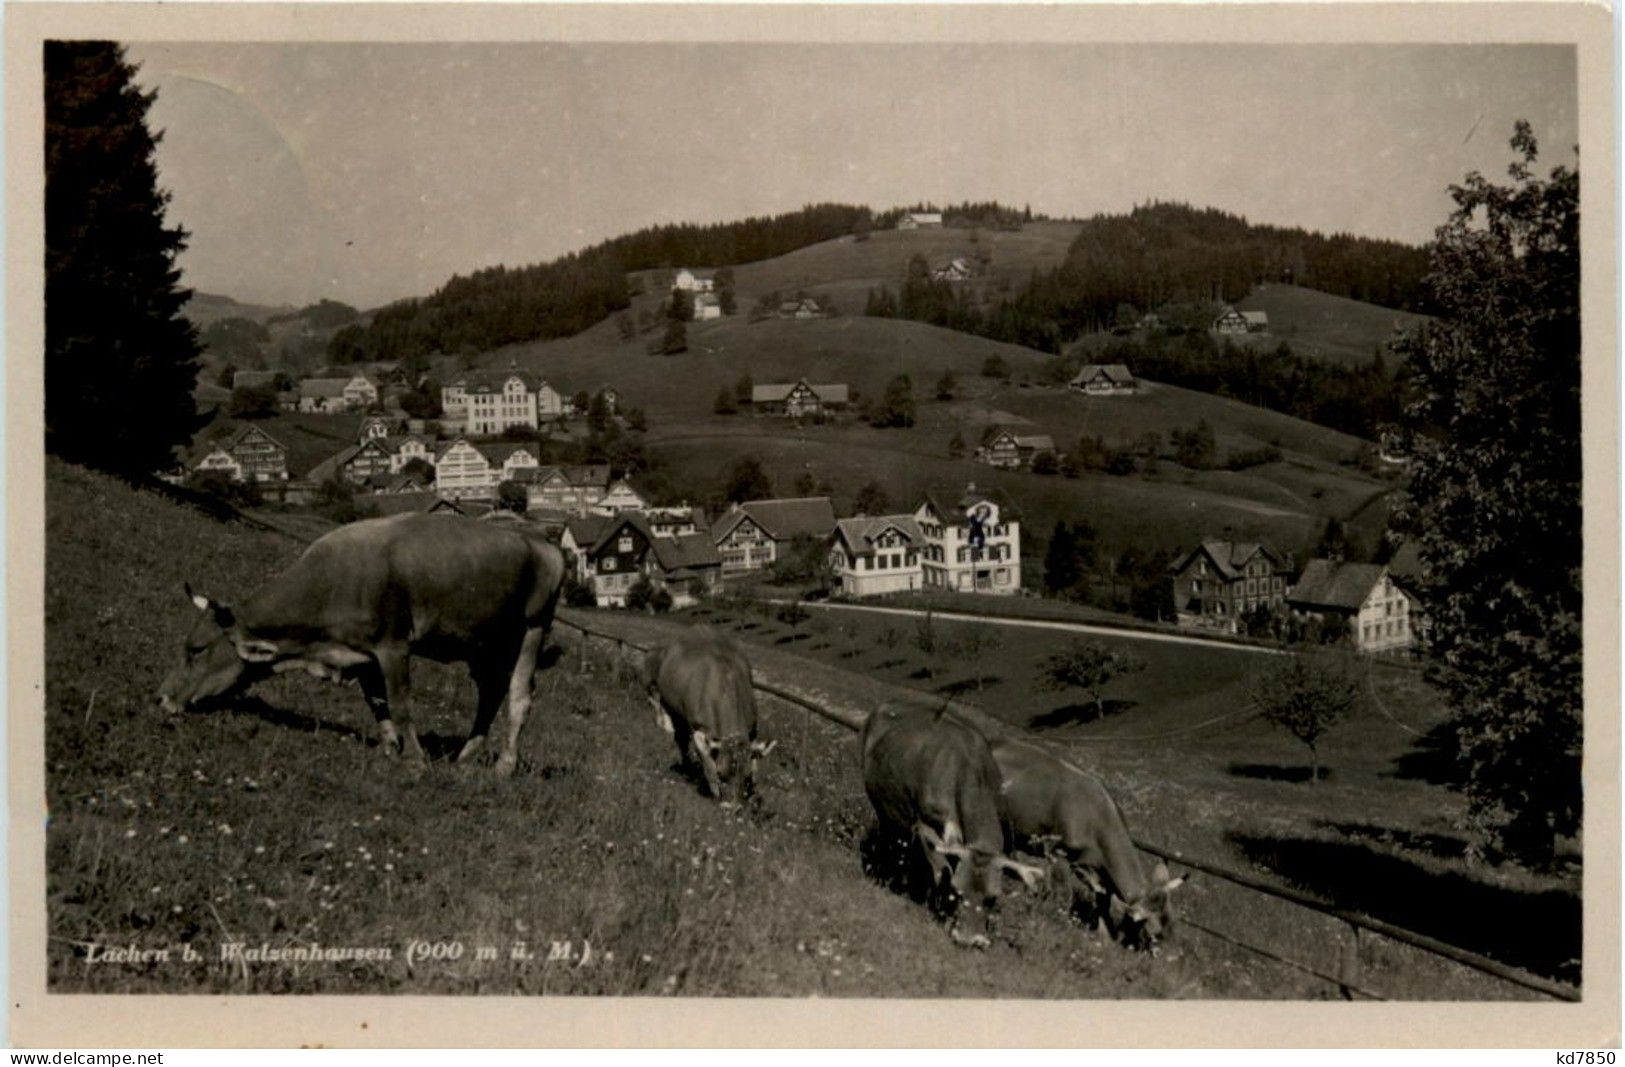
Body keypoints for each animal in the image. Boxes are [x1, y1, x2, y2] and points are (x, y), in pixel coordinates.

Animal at [156, 506, 565, 773]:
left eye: (196, 650)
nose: (161, 698)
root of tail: (541, 538)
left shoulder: (394, 646)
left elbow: (399, 703)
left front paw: (414, 760)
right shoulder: (362, 652)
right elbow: (376, 702)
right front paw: (388, 748)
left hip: (532, 627)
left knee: (519, 696)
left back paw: (505, 766)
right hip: (481, 642)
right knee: (490, 692)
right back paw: (466, 756)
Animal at [643, 633, 770, 799]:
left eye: (745, 776)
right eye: (721, 774)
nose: (733, 805)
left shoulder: (753, 728)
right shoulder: (699, 728)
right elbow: (708, 763)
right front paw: (715, 792)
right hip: (670, 706)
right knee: (680, 738)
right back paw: (687, 767)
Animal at [858, 704, 1046, 941]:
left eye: (992, 898)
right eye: (956, 892)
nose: (967, 940)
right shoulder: (923, 826)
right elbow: (941, 870)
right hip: (882, 810)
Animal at [988, 734, 1183, 948]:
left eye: (1172, 926)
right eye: (1153, 933)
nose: (1167, 953)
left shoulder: (1096, 869)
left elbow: (1103, 901)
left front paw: (1105, 936)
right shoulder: (1058, 850)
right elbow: (1063, 892)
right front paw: (1056, 918)